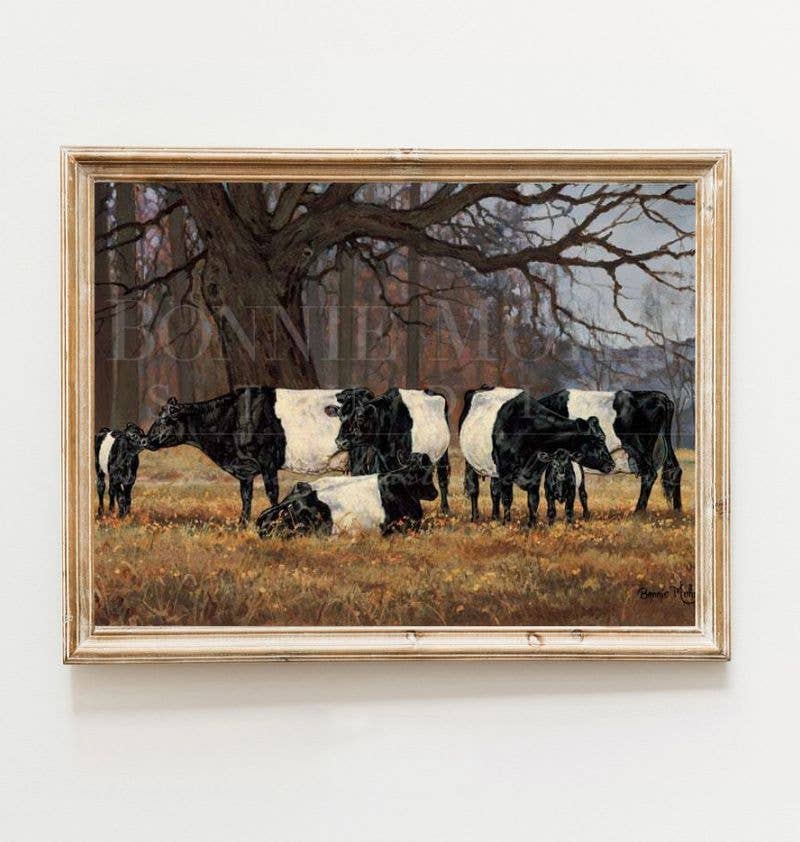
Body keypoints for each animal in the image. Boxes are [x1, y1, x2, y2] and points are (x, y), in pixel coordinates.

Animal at [144, 387, 375, 523]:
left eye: (165, 419)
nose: (145, 440)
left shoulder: (267, 460)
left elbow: (272, 492)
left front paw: (273, 518)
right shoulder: (245, 469)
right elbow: (246, 496)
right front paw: (242, 524)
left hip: (358, 456)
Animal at [458, 386, 615, 525]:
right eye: (601, 439)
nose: (612, 464)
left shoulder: (535, 475)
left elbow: (533, 501)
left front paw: (532, 525)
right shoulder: (506, 472)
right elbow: (507, 499)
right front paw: (506, 523)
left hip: (493, 468)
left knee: (494, 491)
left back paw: (495, 518)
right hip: (470, 462)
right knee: (474, 489)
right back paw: (475, 518)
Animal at [536, 389, 682, 513]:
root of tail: (660, 396)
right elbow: (581, 487)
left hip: (637, 446)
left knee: (649, 473)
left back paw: (638, 512)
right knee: (674, 470)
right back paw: (677, 511)